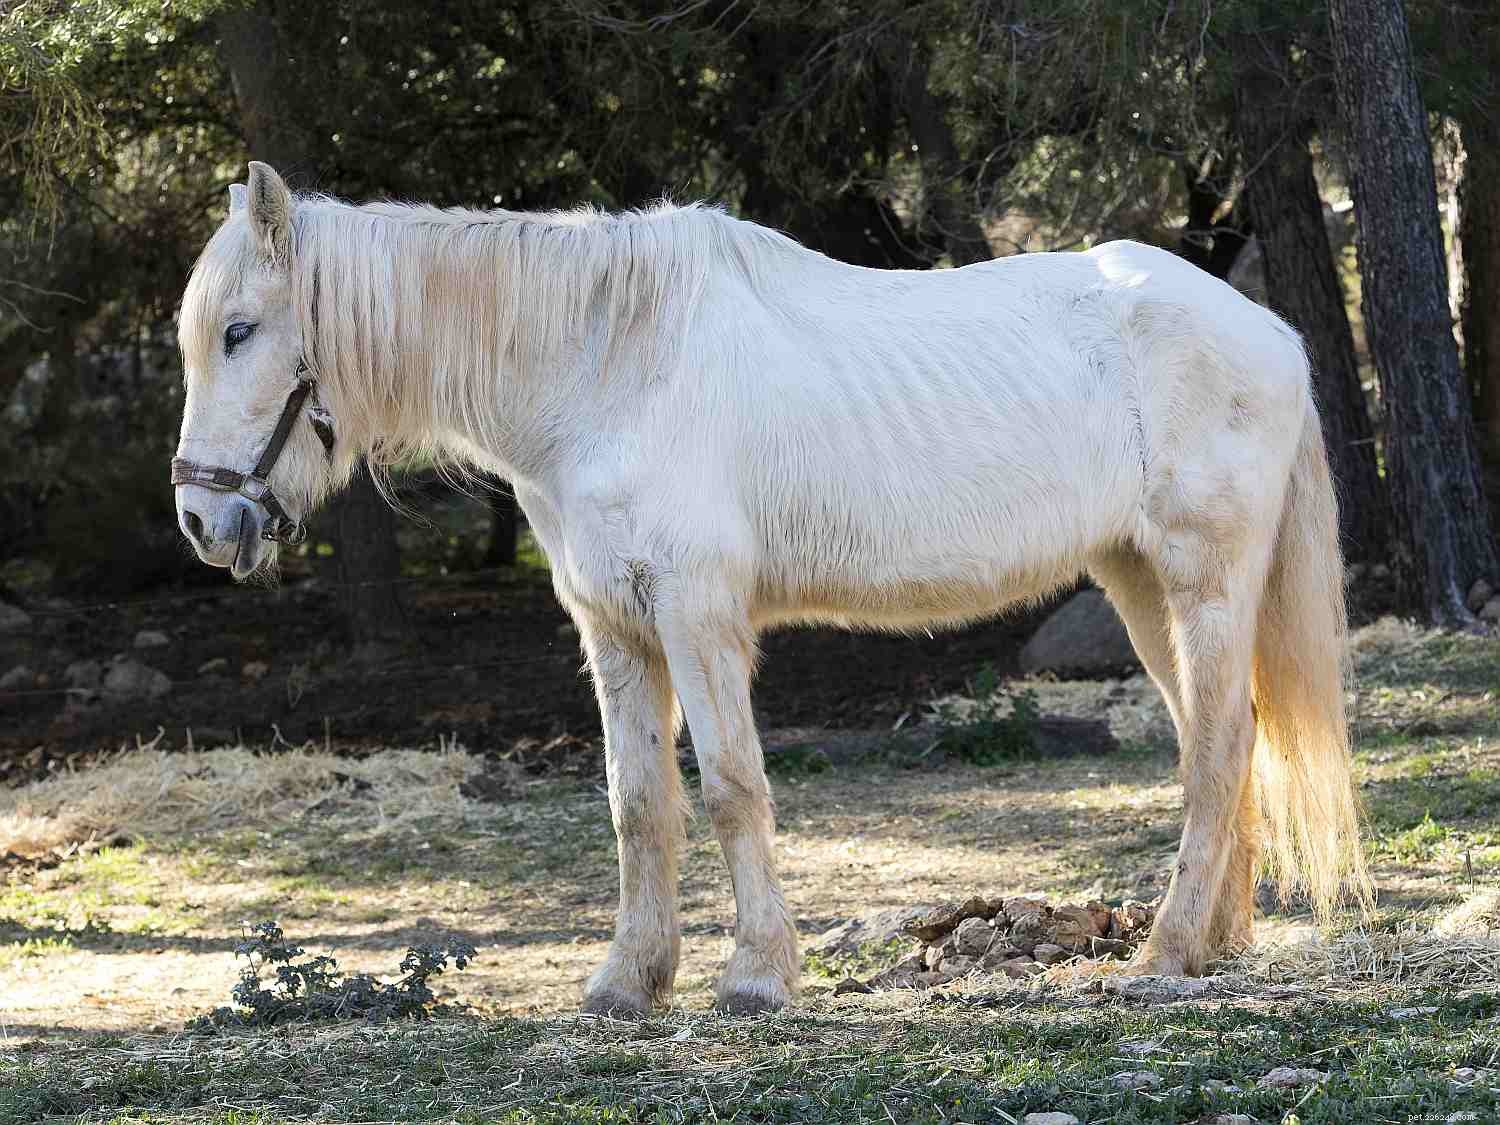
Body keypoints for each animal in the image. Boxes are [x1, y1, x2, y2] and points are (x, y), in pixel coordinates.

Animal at [172, 161, 1369, 1016]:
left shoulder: (698, 620)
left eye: (240, 332)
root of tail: (1269, 331)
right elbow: (638, 805)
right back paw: (1212, 946)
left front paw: (753, 975)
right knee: (1221, 742)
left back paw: (1163, 955)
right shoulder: (615, 629)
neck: (609, 365)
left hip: (1204, 581)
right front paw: (628, 982)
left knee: (1220, 748)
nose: (200, 518)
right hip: (1135, 582)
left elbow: (731, 789)